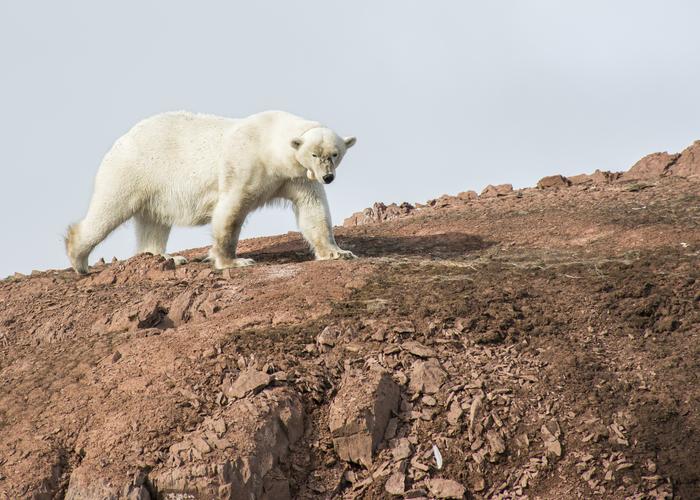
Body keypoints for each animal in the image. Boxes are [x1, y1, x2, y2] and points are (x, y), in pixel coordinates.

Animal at [65, 110, 356, 274]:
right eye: (314, 154)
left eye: (335, 154)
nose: (328, 177)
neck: (270, 146)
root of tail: (122, 139)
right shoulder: (244, 165)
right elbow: (230, 212)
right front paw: (234, 262)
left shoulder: (296, 177)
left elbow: (313, 210)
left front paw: (338, 252)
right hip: (132, 170)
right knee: (109, 209)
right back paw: (80, 260)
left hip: (155, 188)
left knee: (154, 222)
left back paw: (167, 257)